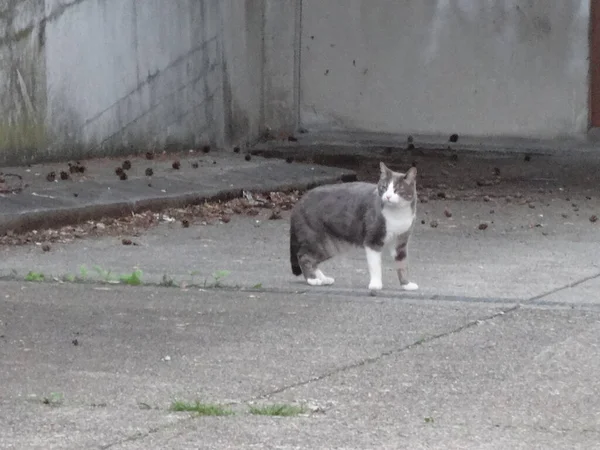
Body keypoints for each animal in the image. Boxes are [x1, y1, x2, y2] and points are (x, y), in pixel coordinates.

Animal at [290, 162, 418, 292]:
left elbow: (402, 264)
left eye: (397, 189)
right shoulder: (373, 240)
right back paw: (312, 280)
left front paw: (406, 284)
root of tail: (298, 203)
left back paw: (323, 279)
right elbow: (375, 265)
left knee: (312, 260)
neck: (397, 214)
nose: (387, 196)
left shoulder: (400, 243)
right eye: (384, 187)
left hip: (329, 246)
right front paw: (375, 284)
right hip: (318, 241)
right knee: (303, 256)